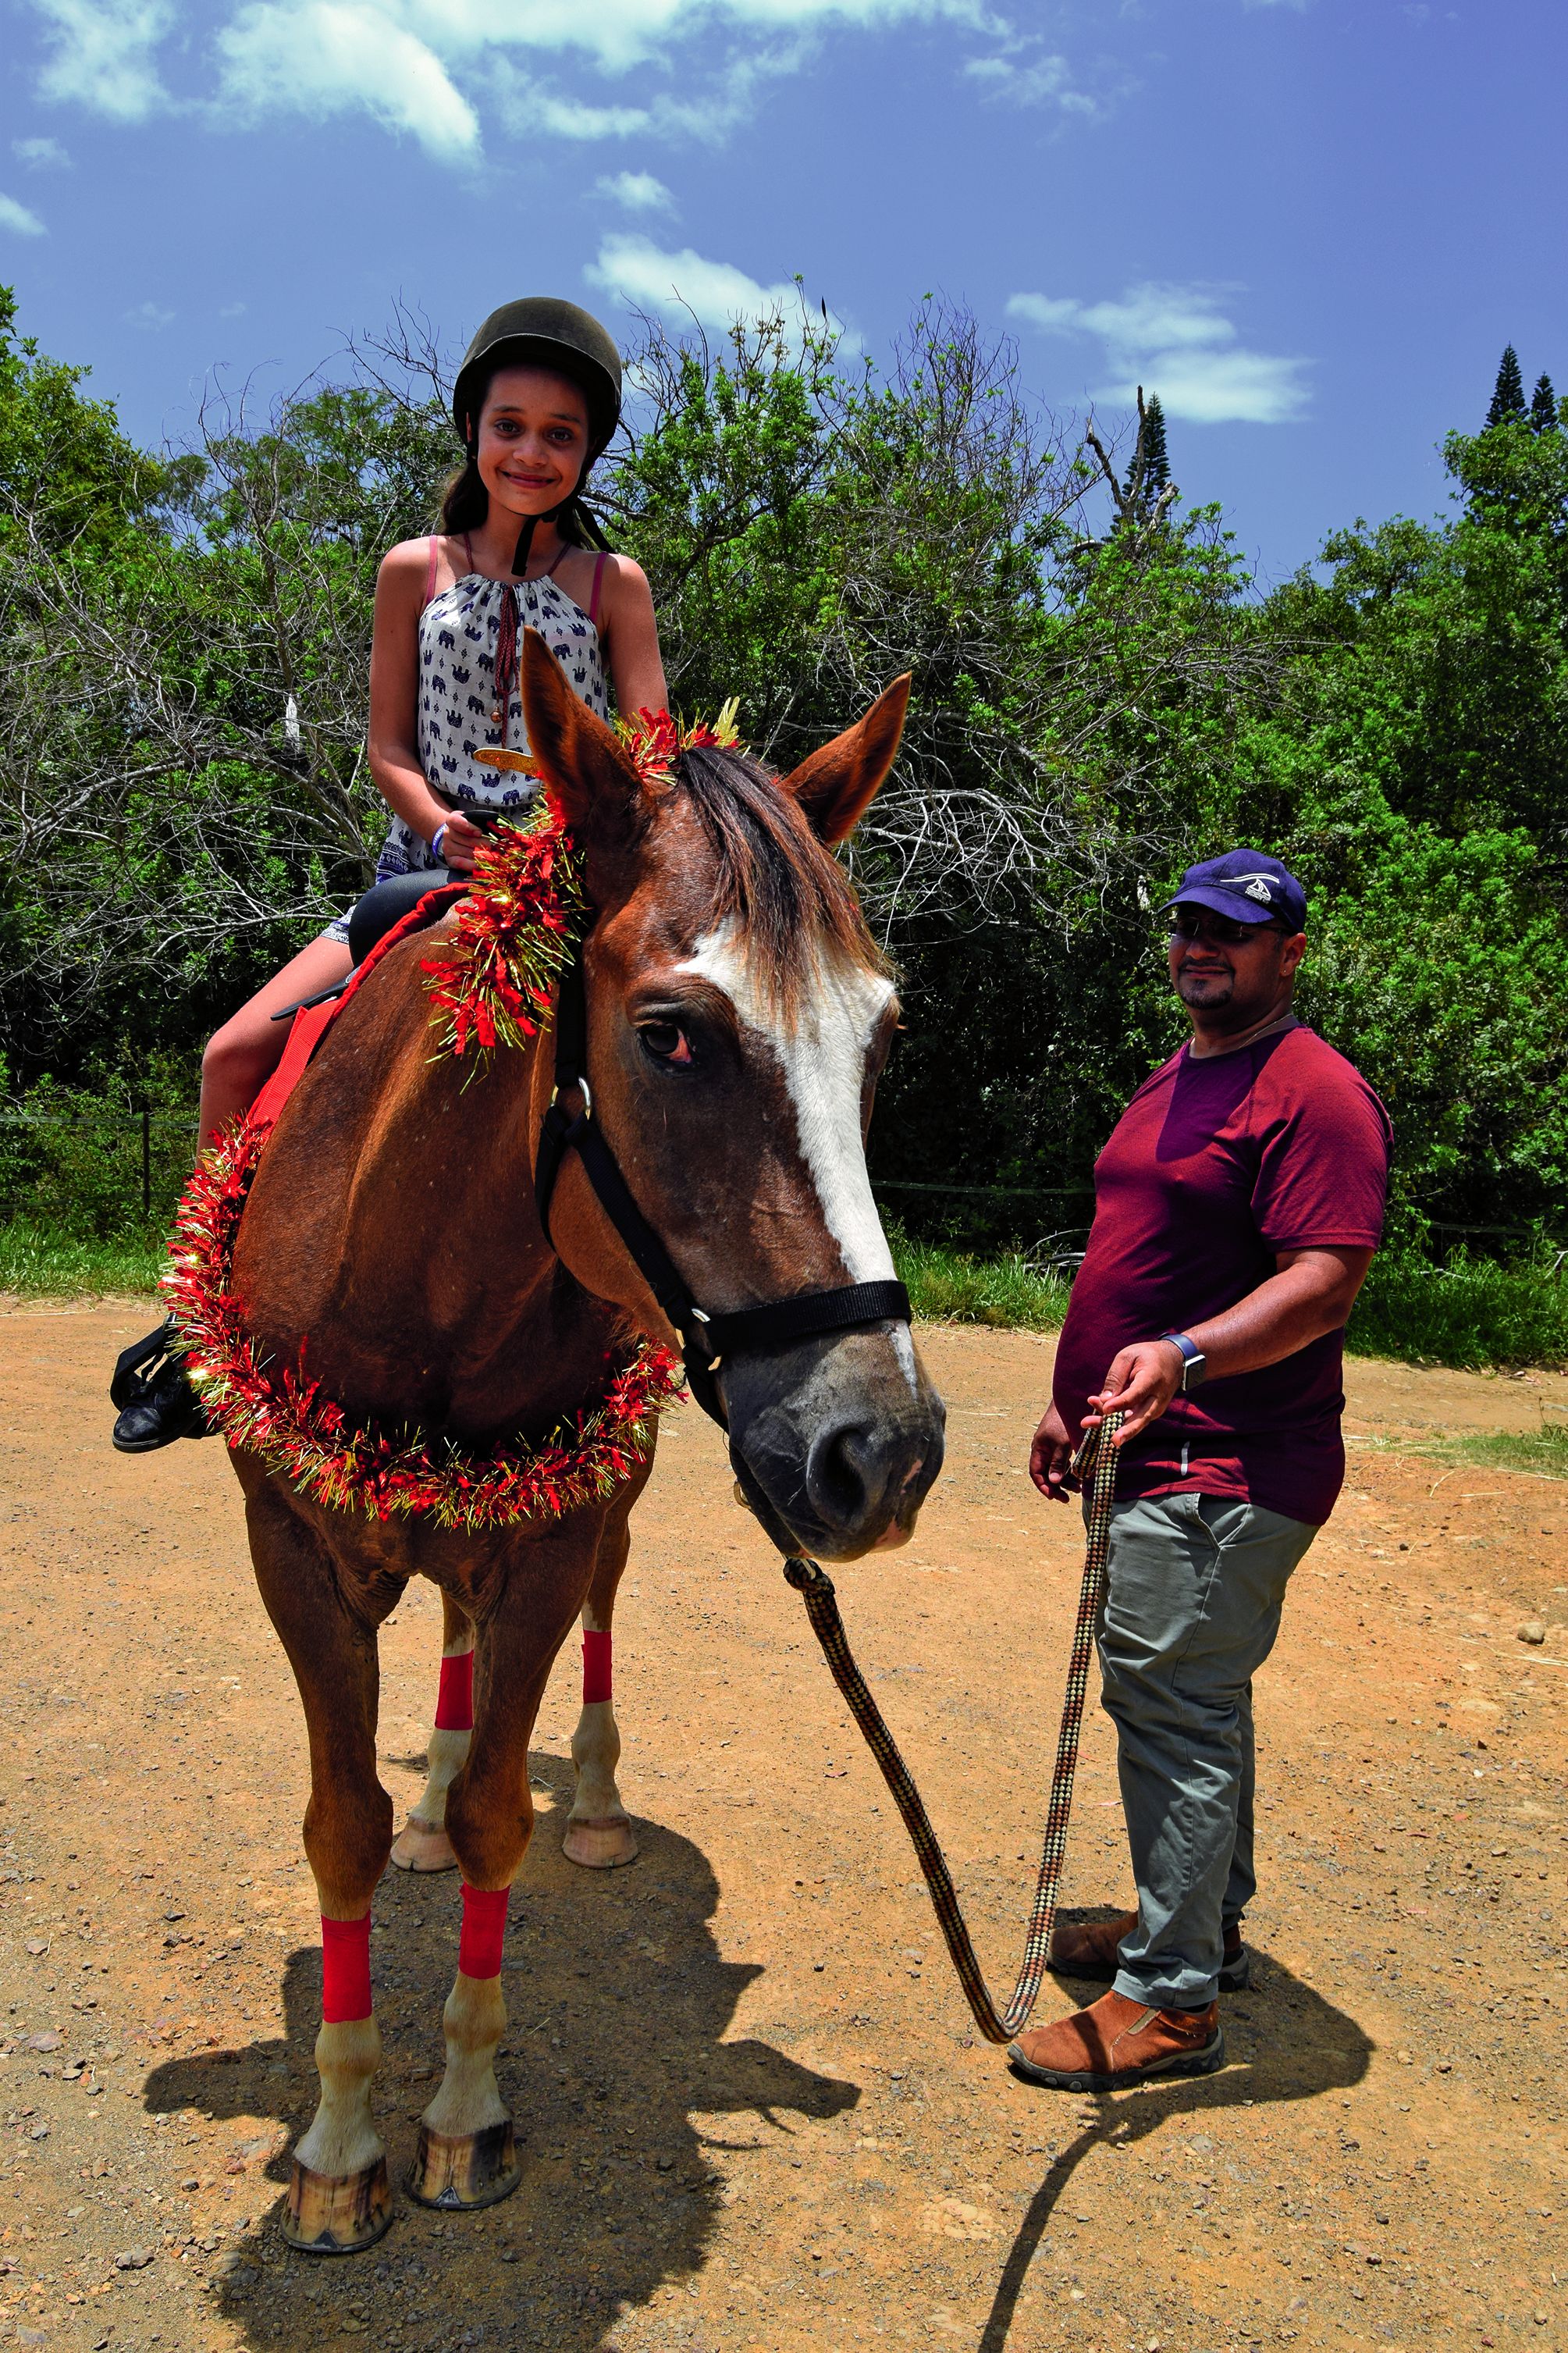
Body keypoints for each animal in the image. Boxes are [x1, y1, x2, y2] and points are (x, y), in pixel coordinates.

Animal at [223, 635, 944, 2249]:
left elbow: (505, 1810)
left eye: (881, 1039)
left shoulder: (549, 1537)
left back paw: (595, 1800)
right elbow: (342, 1825)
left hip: (606, 1493)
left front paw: (460, 2116)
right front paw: (338, 2144)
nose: (882, 1449)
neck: (421, 1259)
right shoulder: (293, 1545)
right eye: (668, 1033)